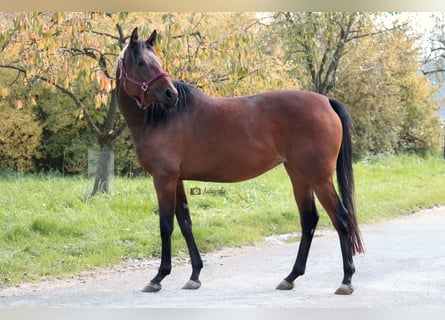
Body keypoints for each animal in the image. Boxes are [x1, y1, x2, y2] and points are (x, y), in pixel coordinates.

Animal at [116, 27, 362, 296]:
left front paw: (158, 277)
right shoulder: (176, 180)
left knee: (341, 218)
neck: (159, 118)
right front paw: (195, 275)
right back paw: (290, 277)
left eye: (157, 62)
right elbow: (186, 223)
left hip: (318, 177)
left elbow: (166, 227)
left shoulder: (164, 179)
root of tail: (326, 101)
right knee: (309, 220)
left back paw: (346, 280)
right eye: (141, 62)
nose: (171, 94)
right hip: (298, 174)